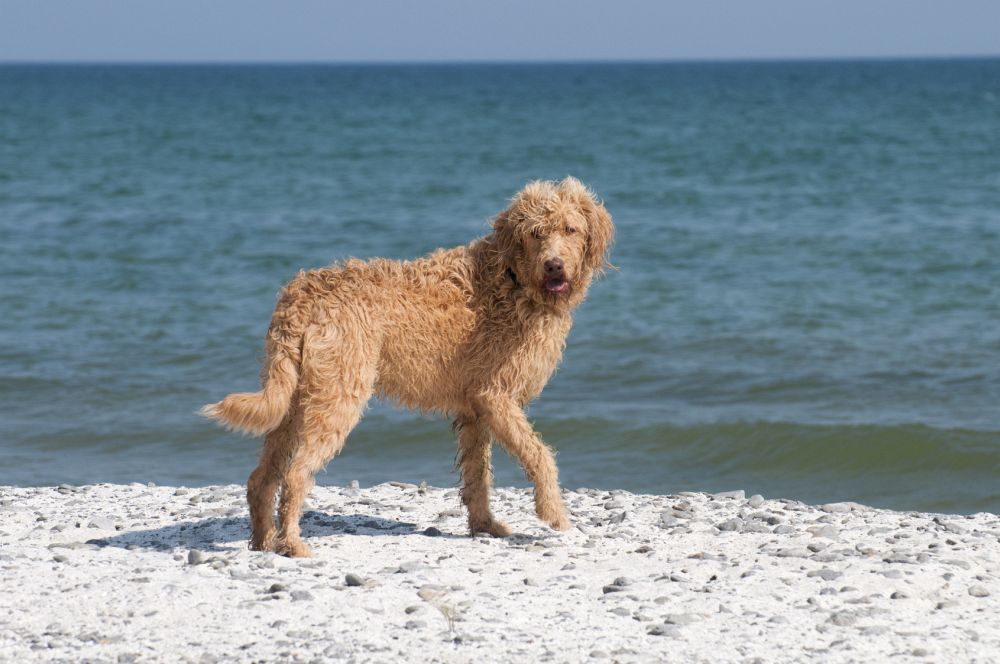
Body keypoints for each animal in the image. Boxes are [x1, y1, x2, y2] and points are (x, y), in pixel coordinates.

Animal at [199, 175, 612, 556]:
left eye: (570, 229)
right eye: (536, 233)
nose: (554, 266)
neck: (512, 280)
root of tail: (301, 295)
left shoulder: (475, 411)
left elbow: (478, 475)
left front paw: (484, 525)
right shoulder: (494, 397)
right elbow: (540, 455)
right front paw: (554, 512)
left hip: (293, 401)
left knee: (261, 478)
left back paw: (263, 541)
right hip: (337, 398)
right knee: (296, 475)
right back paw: (294, 544)